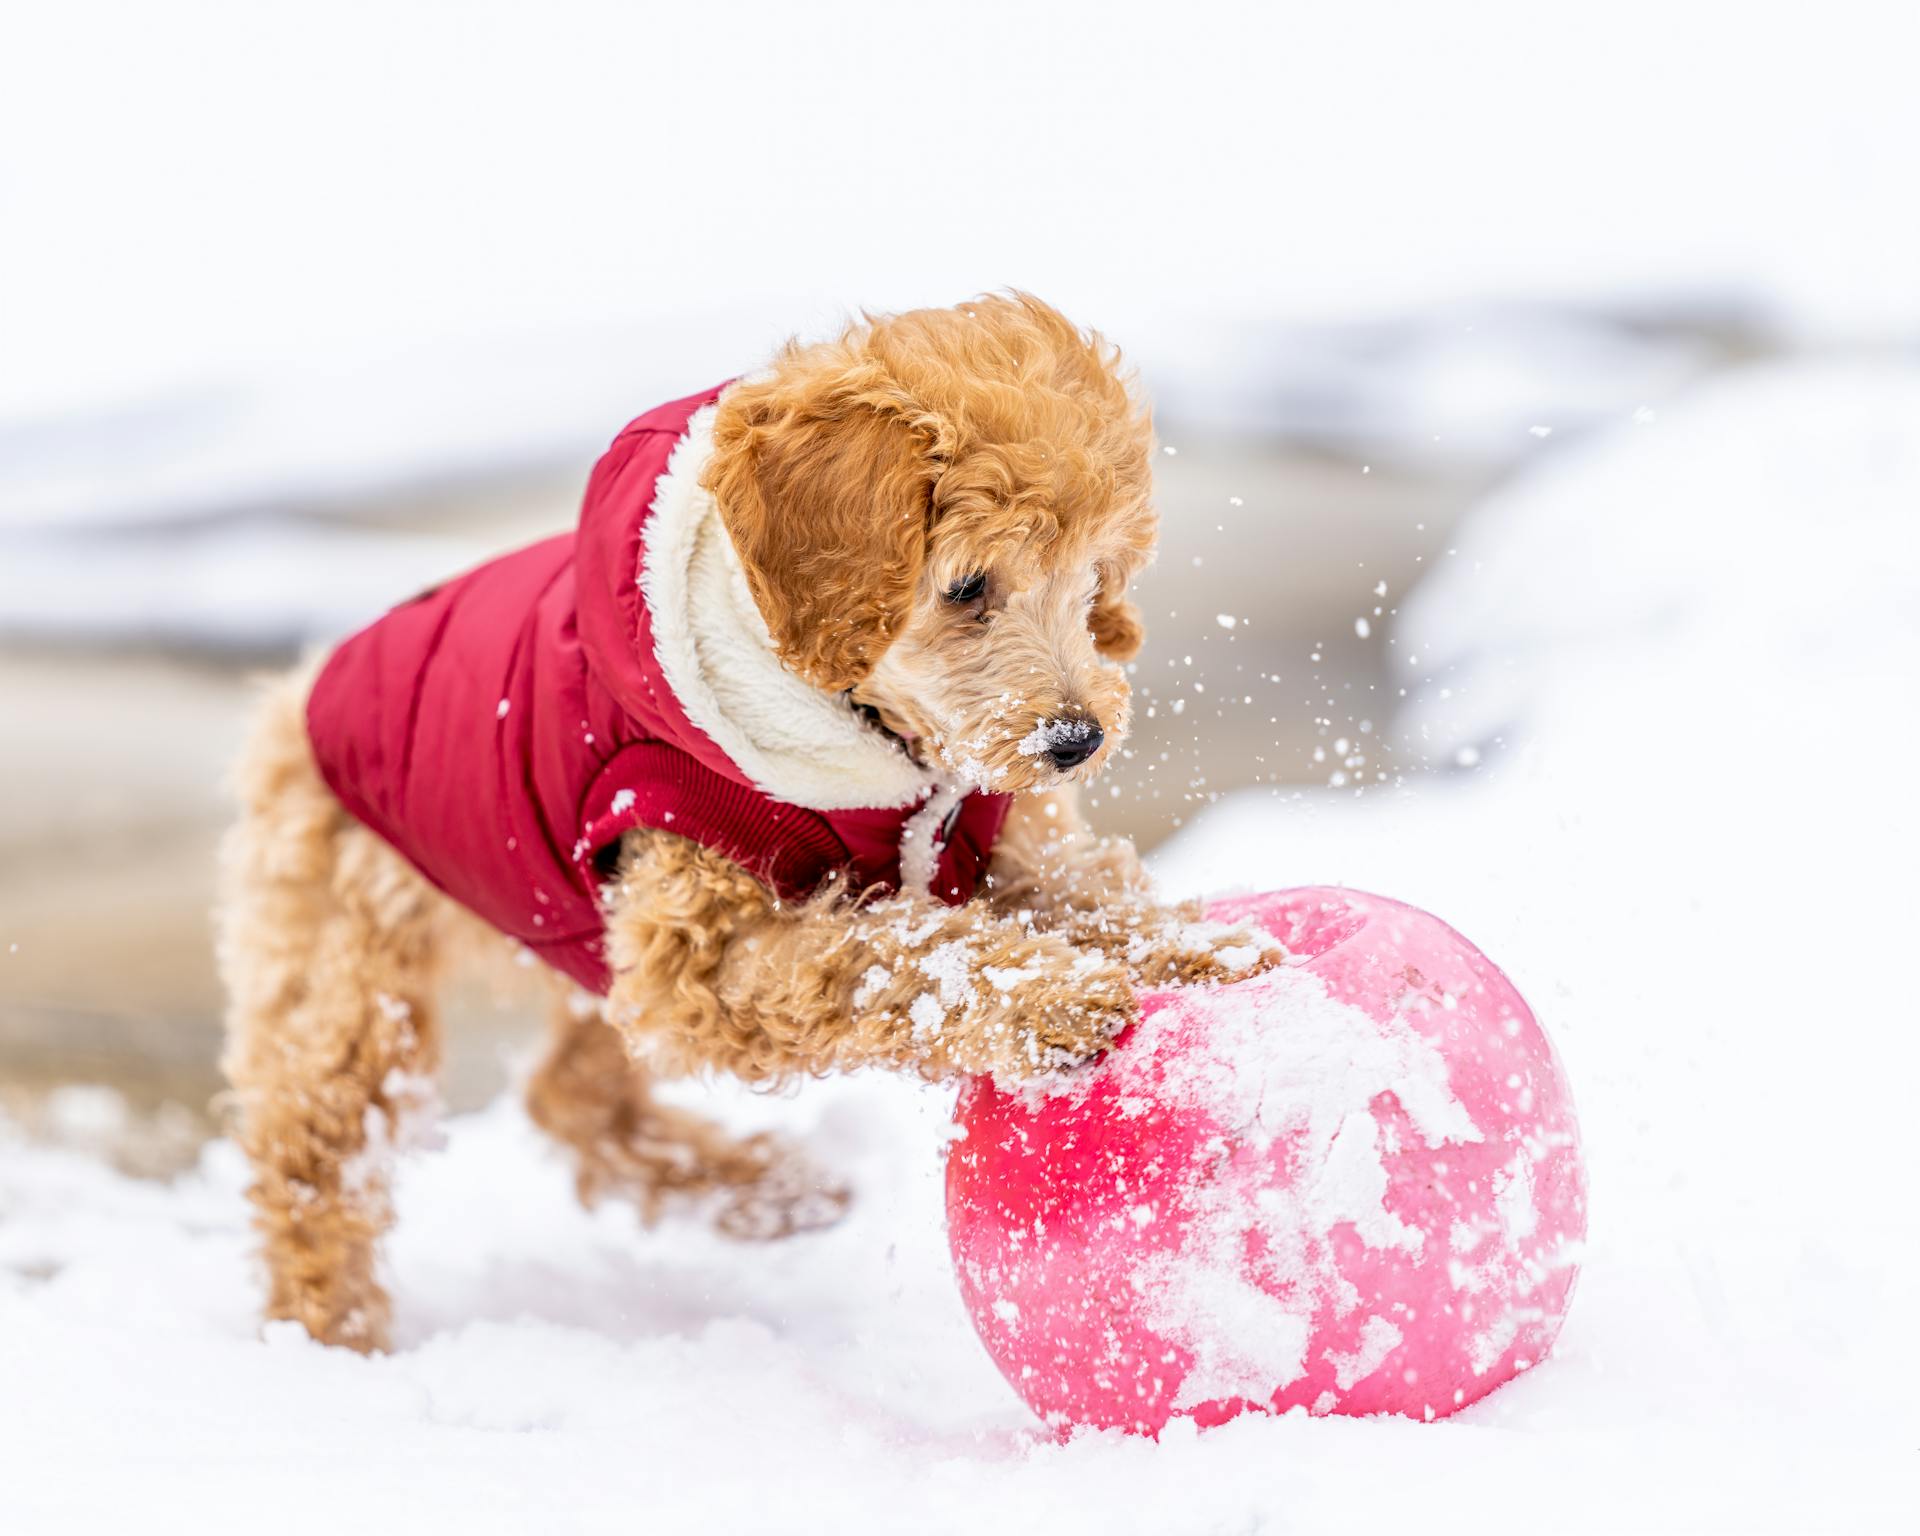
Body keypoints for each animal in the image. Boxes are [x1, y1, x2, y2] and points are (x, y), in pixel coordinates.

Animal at [217, 293, 1267, 1351]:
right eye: (968, 586)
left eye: (1094, 581)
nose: (1076, 740)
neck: (880, 745)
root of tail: (303, 691)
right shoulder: (704, 949)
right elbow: (894, 954)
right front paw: (1052, 997)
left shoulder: (1003, 844)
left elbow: (1089, 893)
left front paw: (1203, 947)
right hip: (350, 966)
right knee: (316, 1158)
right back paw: (331, 1339)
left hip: (581, 939)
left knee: (573, 1092)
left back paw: (763, 1191)